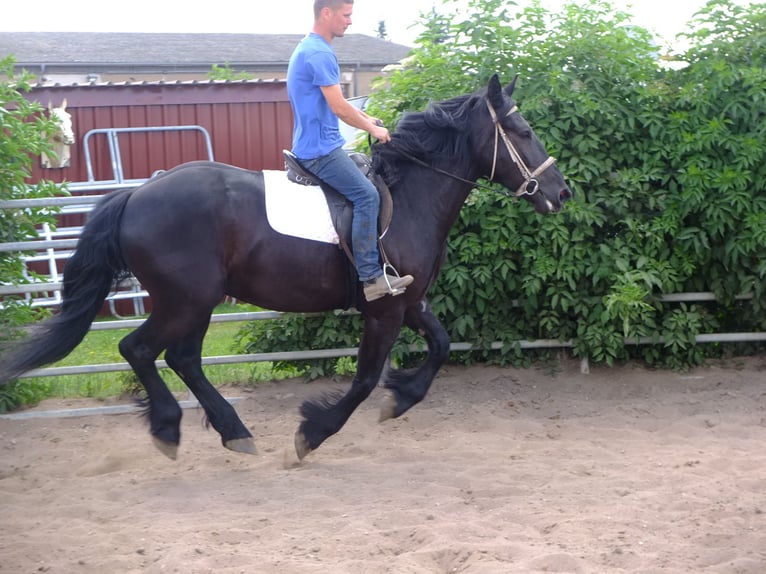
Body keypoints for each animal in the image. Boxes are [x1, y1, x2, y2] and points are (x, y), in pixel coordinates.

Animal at [0, 76, 572, 462]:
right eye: (521, 129)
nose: (561, 192)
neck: (409, 195)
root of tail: (136, 195)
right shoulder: (384, 310)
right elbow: (365, 379)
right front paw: (312, 432)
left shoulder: (409, 301)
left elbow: (441, 347)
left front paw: (402, 397)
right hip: (186, 300)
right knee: (138, 349)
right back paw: (172, 428)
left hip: (197, 303)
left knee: (182, 358)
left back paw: (233, 431)